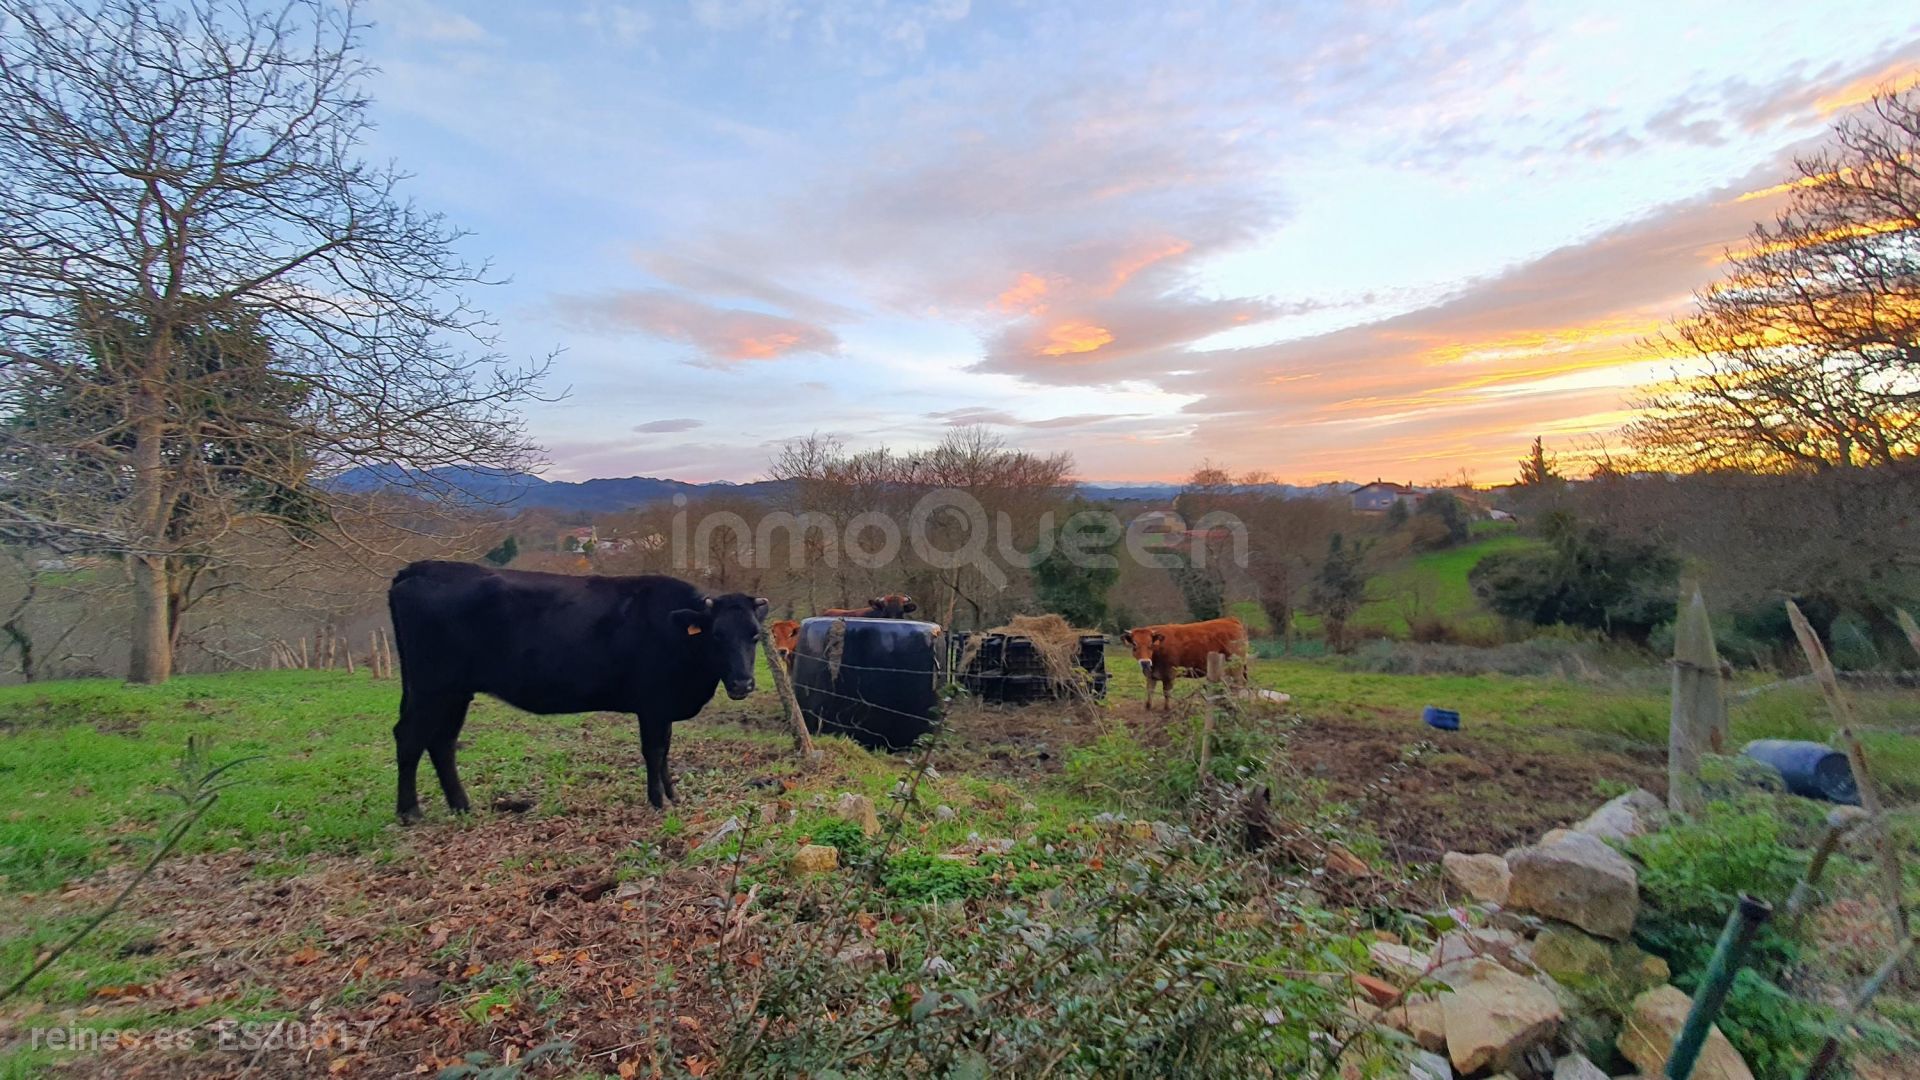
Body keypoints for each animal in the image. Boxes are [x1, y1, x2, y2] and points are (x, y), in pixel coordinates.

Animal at [385, 557, 768, 818]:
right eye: (717, 636)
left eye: (754, 636)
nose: (742, 683)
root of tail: (421, 568)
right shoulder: (652, 705)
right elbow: (655, 751)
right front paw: (658, 801)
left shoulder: (663, 707)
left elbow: (666, 751)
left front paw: (672, 796)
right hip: (431, 688)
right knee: (409, 737)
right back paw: (409, 812)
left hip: (454, 692)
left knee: (442, 743)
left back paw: (462, 805)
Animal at [1121, 614, 1251, 707]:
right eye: (1134, 644)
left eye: (1150, 644)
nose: (1145, 662)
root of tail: (1231, 620)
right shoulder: (1151, 676)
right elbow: (1149, 694)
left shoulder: (1170, 674)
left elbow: (1167, 694)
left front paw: (1167, 710)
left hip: (1236, 665)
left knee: (1240, 682)